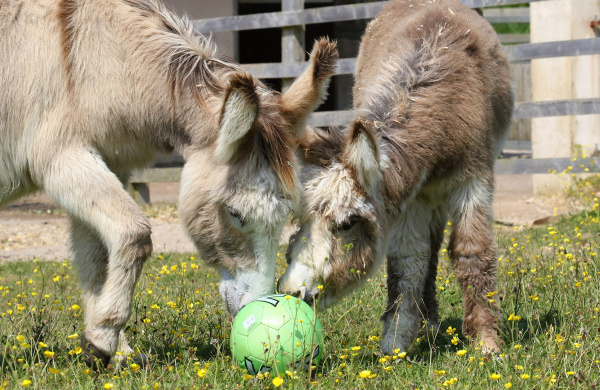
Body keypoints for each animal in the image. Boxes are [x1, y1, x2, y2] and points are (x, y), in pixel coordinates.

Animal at [0, 0, 338, 366]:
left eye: (285, 216)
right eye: (235, 213)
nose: (260, 304)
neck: (87, 59)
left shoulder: (105, 164)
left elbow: (97, 260)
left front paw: (110, 350)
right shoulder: (62, 161)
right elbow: (133, 232)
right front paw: (105, 336)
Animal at [278, 0, 512, 354]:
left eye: (346, 224)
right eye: (301, 220)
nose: (291, 291)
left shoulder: (473, 177)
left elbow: (472, 251)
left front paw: (486, 343)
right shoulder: (409, 194)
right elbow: (408, 260)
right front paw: (396, 341)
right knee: (429, 248)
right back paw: (428, 322)